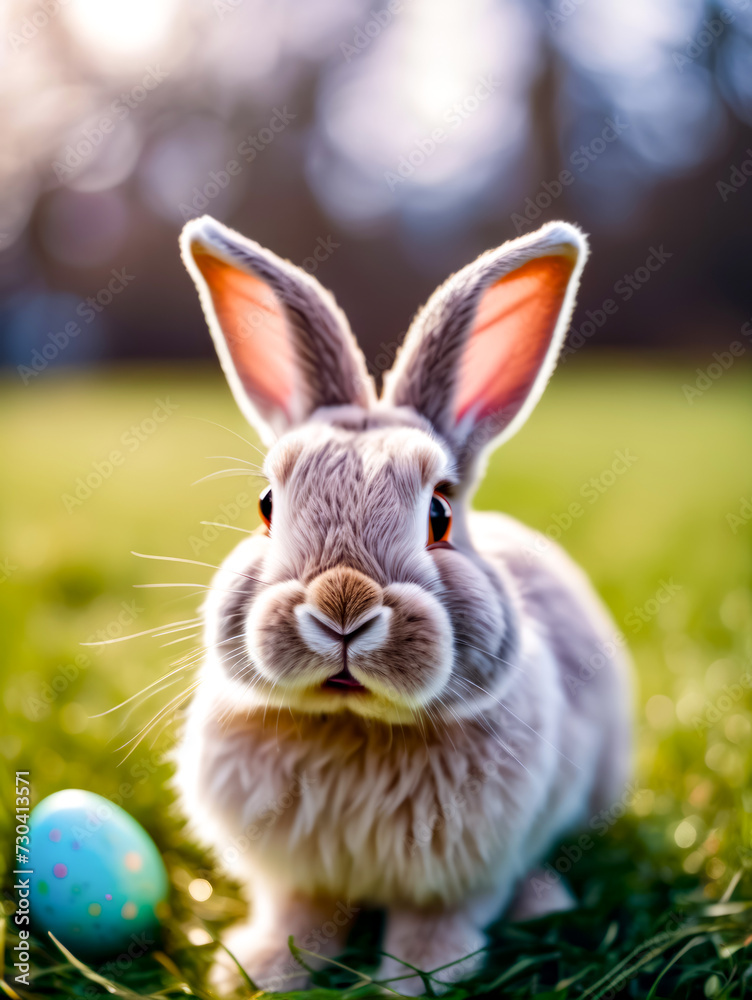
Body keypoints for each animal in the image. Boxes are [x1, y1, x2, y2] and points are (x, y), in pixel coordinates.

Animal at [173, 215, 632, 996]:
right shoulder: (298, 874)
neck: (353, 727)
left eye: (439, 515)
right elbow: (301, 913)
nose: (343, 608)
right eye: (266, 506)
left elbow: (436, 923)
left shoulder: (466, 872)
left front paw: (417, 979)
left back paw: (544, 902)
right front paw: (260, 970)